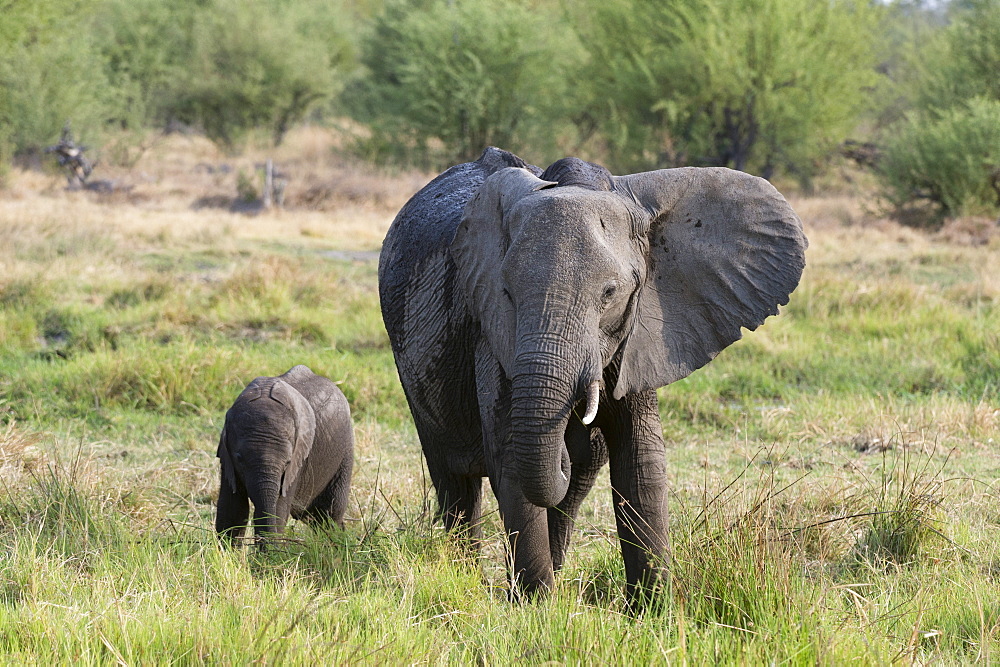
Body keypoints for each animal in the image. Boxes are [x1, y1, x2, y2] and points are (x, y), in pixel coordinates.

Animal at [214, 366, 352, 544]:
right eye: (239, 459)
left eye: (288, 462)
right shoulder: (227, 459)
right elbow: (232, 509)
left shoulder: (296, 465)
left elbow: (278, 510)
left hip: (345, 451)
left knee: (329, 514)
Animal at [378, 147, 808, 604]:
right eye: (507, 293)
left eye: (610, 293)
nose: (570, 430)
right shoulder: (493, 335)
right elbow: (511, 454)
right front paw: (537, 608)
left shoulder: (639, 333)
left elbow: (640, 460)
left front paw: (652, 611)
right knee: (456, 485)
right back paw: (465, 573)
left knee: (572, 491)